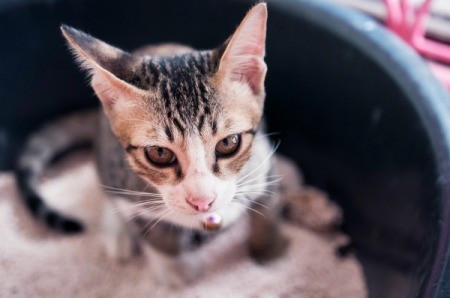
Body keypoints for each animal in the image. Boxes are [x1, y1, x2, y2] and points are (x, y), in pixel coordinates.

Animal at [15, 2, 288, 286]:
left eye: (228, 142)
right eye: (159, 153)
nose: (202, 202)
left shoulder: (264, 159)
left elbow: (268, 210)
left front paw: (270, 251)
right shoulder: (129, 190)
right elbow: (151, 230)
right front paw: (176, 269)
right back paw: (117, 232)